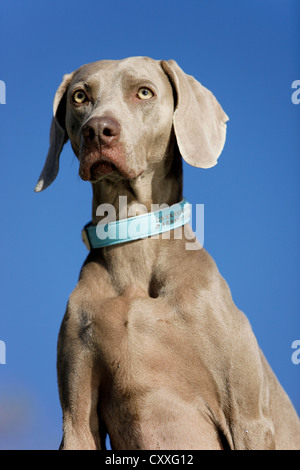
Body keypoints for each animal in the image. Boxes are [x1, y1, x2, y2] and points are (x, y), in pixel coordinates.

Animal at [35, 57, 300, 450]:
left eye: (144, 92)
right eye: (80, 97)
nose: (98, 131)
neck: (134, 246)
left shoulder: (248, 419)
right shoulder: (77, 421)